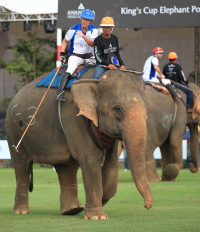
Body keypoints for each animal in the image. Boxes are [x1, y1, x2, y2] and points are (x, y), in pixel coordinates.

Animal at [6, 68, 153, 219]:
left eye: (147, 107)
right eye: (117, 109)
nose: (147, 206)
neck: (97, 79)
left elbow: (111, 163)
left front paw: (101, 200)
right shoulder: (74, 116)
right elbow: (90, 159)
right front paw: (97, 217)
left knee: (66, 167)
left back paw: (72, 210)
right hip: (13, 131)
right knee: (22, 167)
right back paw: (22, 212)